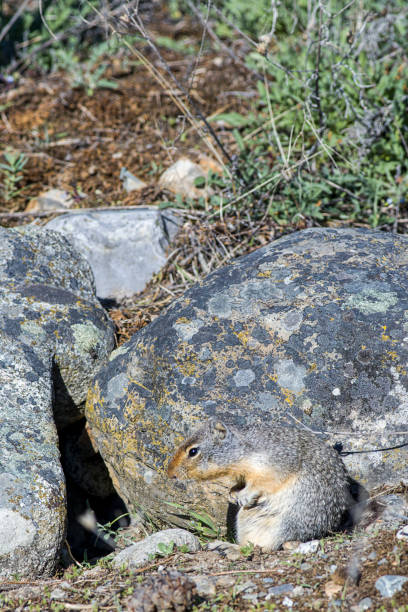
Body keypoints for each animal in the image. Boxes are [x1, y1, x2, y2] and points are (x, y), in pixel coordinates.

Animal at [167, 420, 356, 548]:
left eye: (193, 451)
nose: (170, 474)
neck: (242, 451)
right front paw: (232, 493)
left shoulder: (271, 466)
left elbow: (261, 484)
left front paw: (243, 495)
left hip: (283, 524)